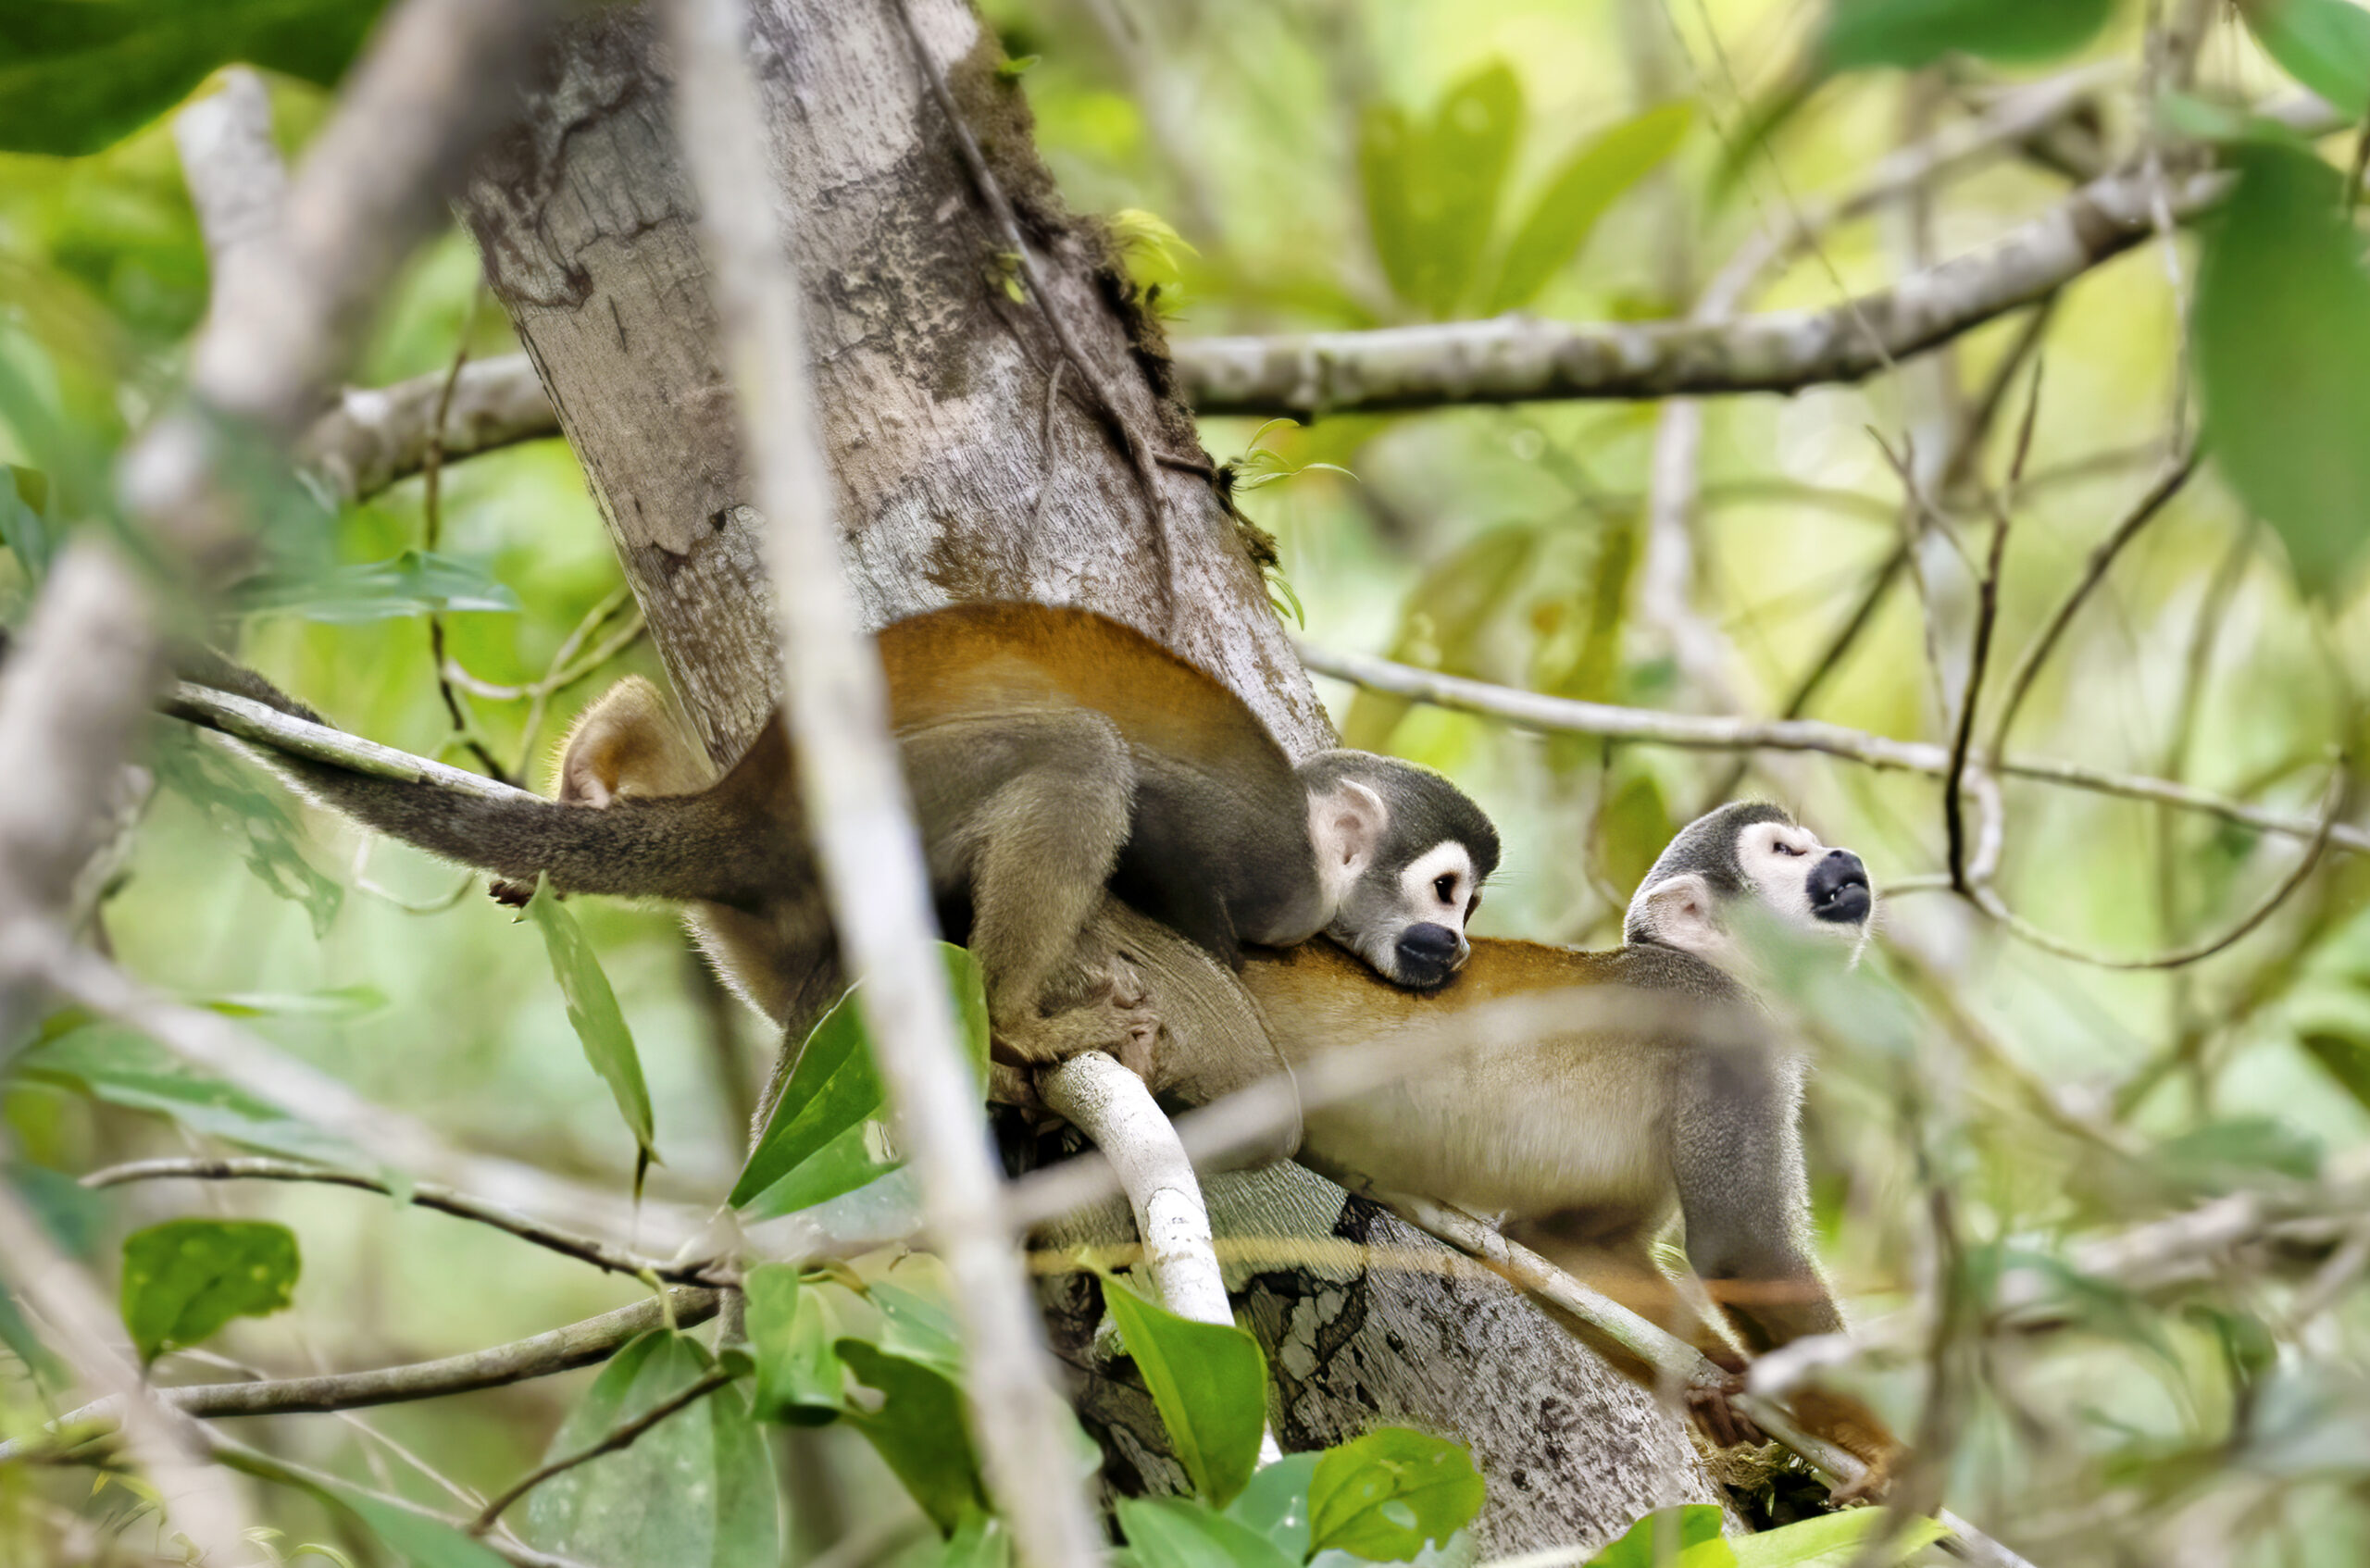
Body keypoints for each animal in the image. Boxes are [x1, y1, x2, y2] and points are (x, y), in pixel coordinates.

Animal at [204, 606, 1497, 1075]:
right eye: (1446, 890)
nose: (1458, 950)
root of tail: (757, 803)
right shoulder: (1266, 855)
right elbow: (1168, 820)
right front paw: (1220, 957)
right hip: (892, 795)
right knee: (1080, 752)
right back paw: (1019, 1017)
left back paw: (603, 752)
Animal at [1232, 810, 1896, 1497]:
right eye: (1786, 851)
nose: (1840, 856)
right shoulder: (1725, 1034)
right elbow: (1742, 1247)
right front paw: (1876, 1446)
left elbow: (1567, 1243)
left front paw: (1713, 1380)